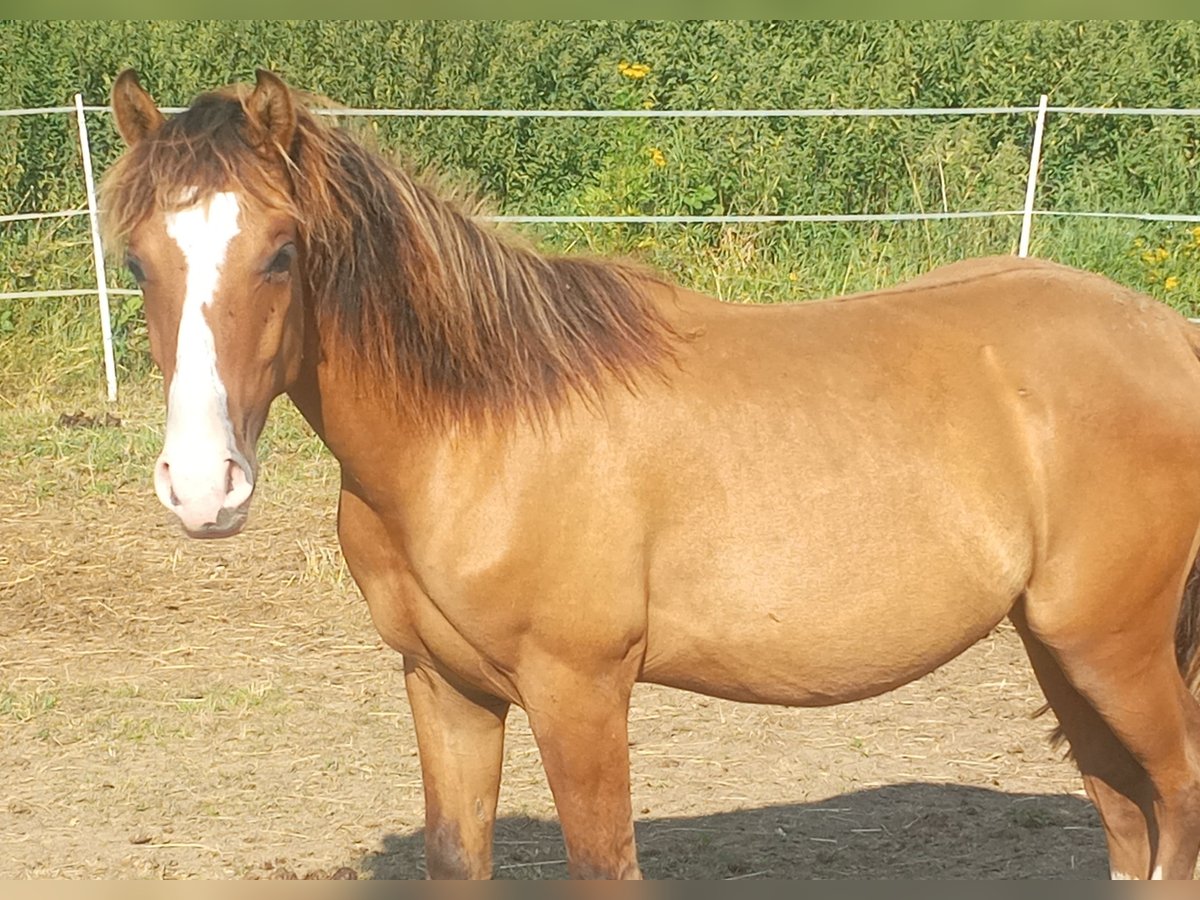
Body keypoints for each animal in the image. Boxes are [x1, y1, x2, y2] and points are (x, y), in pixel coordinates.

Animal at [103, 68, 1200, 883]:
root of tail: (1169, 335)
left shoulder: (580, 693)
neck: (483, 429)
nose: (202, 487)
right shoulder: (446, 690)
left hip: (1115, 648)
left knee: (1177, 804)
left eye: (282, 253)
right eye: (138, 263)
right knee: (1127, 821)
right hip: (1060, 648)